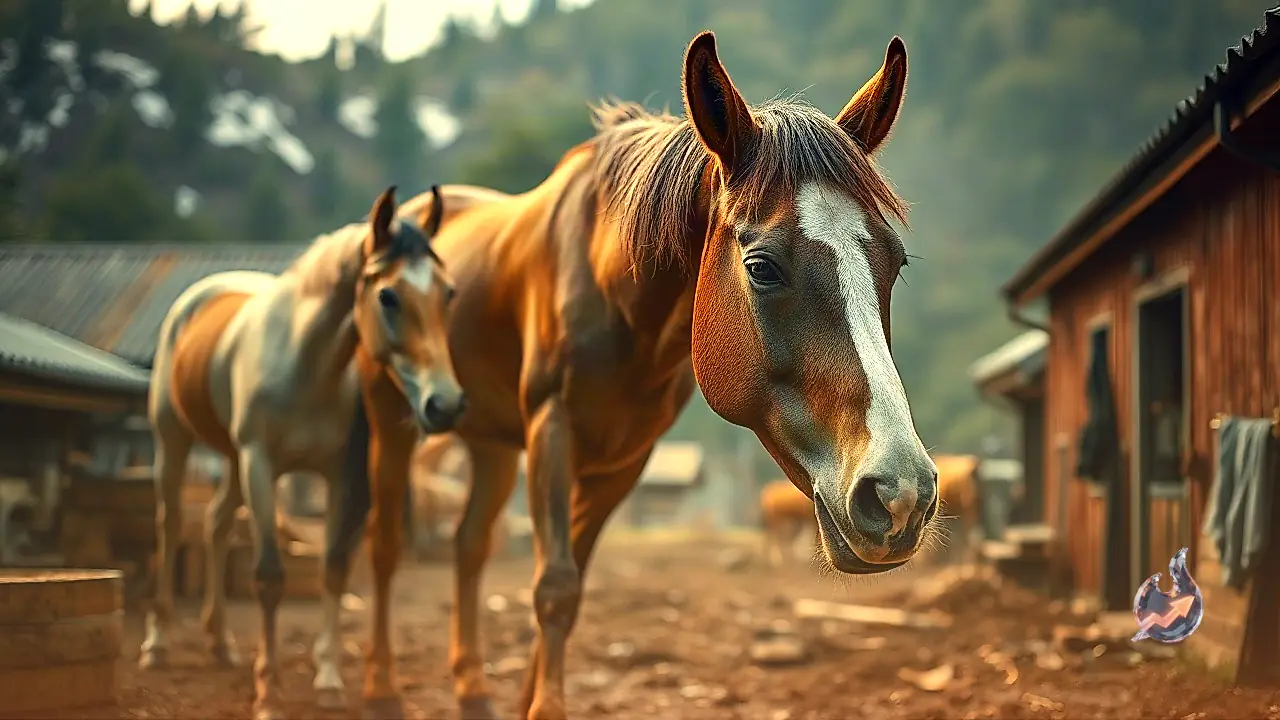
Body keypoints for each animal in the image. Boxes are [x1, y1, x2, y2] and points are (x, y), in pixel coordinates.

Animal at [139, 186, 465, 720]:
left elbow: (333, 568)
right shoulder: (261, 465)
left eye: (448, 293)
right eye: (388, 295)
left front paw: (329, 680)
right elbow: (270, 577)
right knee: (169, 525)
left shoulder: (336, 476)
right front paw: (269, 692)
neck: (303, 363)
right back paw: (157, 644)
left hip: (232, 462)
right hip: (175, 442)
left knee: (215, 525)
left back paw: (221, 644)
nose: (446, 404)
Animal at [336, 30, 939, 720]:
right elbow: (553, 585)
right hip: (393, 417)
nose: (900, 494)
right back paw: (382, 688)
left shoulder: (623, 461)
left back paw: (470, 688)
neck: (613, 291)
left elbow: (568, 588)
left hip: (490, 444)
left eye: (893, 263)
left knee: (468, 547)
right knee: (385, 543)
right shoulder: (554, 432)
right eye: (762, 267)